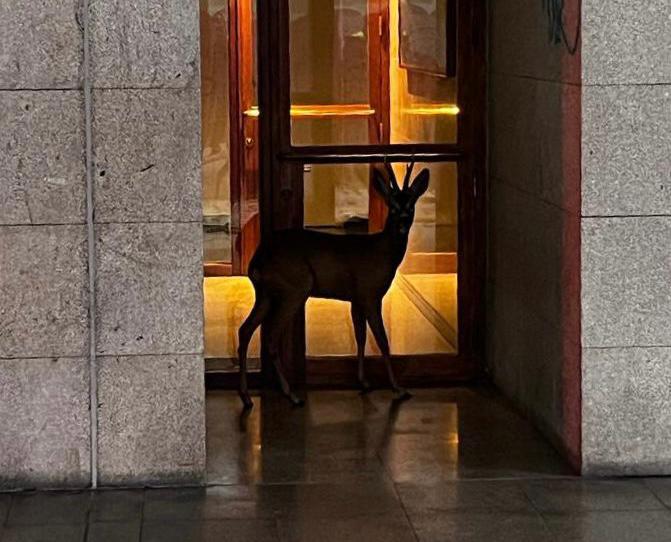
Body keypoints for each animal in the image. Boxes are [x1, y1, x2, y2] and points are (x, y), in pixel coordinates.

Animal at [239, 164, 434, 410]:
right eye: (393, 206)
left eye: (411, 205)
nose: (402, 224)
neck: (383, 253)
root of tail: (256, 262)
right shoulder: (370, 293)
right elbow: (382, 340)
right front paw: (398, 389)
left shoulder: (357, 298)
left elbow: (360, 336)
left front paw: (364, 382)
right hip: (295, 289)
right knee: (271, 337)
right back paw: (291, 395)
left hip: (265, 294)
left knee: (245, 329)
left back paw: (247, 397)